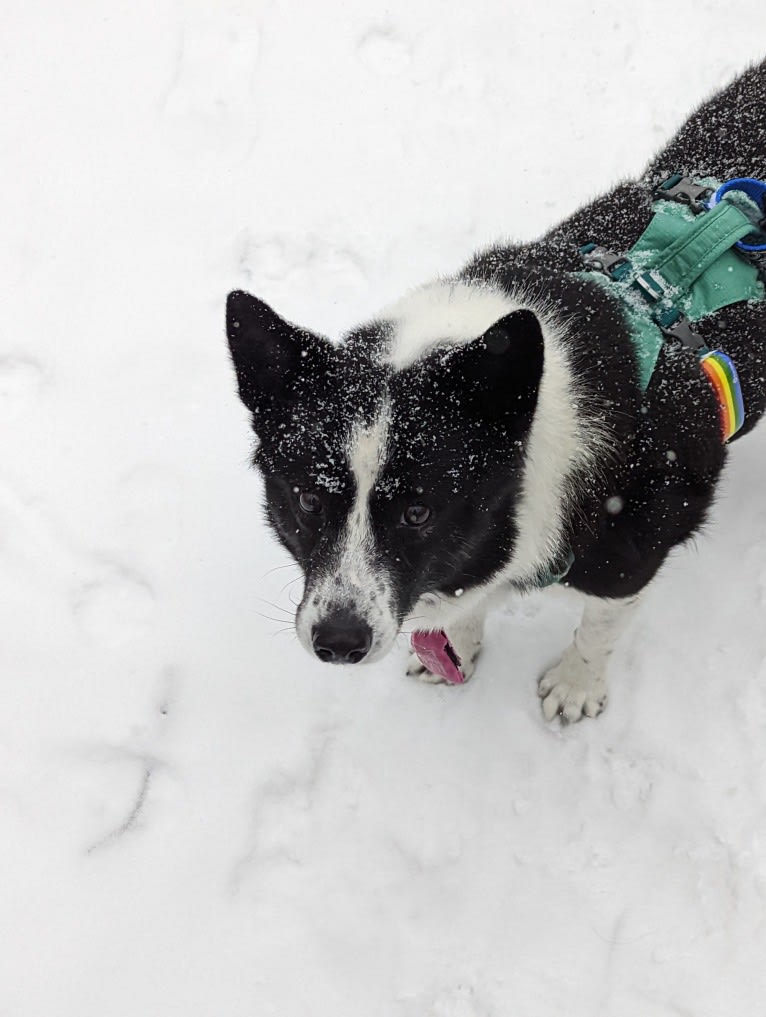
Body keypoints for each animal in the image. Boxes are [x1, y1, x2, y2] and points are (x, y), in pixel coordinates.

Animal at [223, 61, 764, 724]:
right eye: (305, 499)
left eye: (419, 511)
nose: (340, 643)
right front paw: (455, 645)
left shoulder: (636, 547)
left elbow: (601, 624)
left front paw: (576, 685)